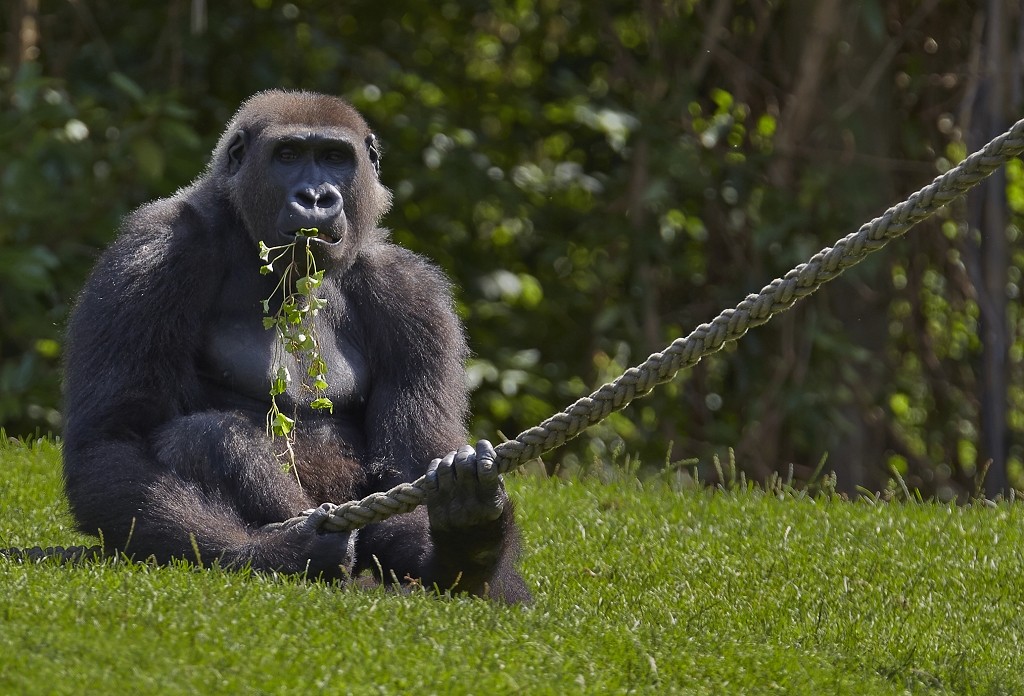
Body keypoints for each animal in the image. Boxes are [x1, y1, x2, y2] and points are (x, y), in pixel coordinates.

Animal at [61, 91, 528, 601]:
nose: (316, 197)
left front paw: (467, 531)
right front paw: (283, 552)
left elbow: (410, 460)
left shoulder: (411, 293)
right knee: (202, 436)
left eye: (335, 158)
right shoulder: (154, 253)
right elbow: (113, 440)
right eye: (287, 155)